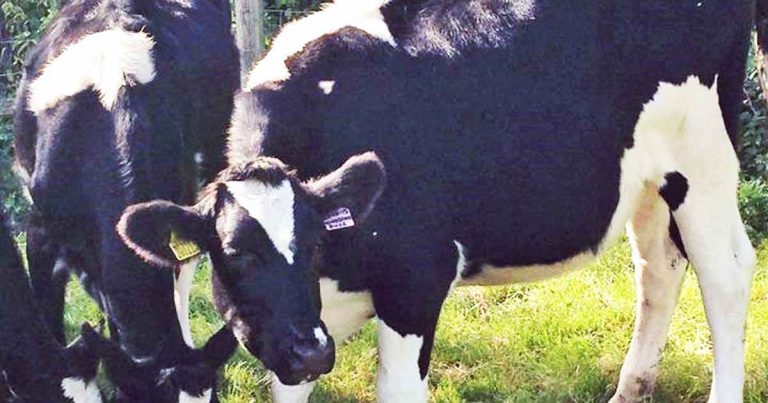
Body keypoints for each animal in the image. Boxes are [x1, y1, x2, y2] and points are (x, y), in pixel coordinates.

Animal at [117, 0, 759, 401]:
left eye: (317, 240)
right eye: (237, 254)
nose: (310, 354)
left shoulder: (414, 280)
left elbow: (396, 390)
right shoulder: (298, 321)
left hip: (703, 154)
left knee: (725, 272)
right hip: (646, 176)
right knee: (660, 267)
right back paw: (629, 390)